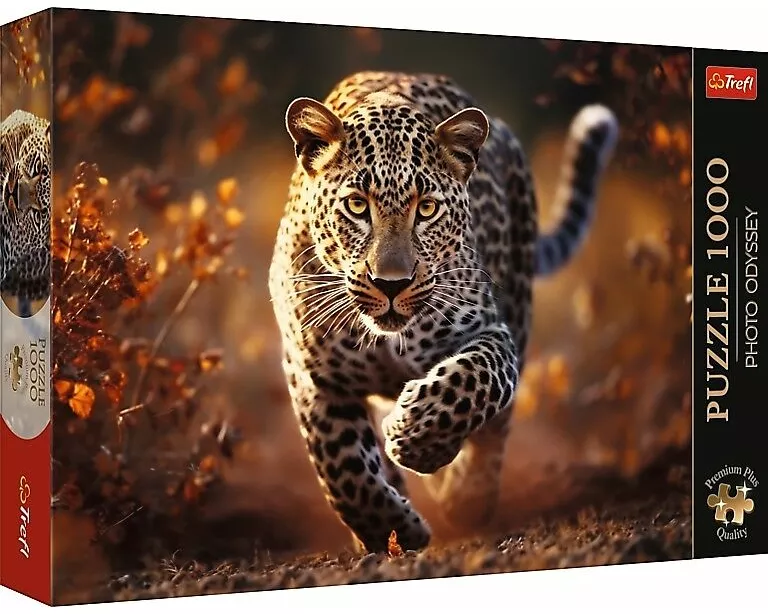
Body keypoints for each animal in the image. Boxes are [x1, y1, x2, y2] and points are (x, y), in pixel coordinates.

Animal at [268, 71, 618, 553]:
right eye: (357, 206)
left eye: (427, 208)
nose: (391, 283)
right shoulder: (312, 375)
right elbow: (343, 467)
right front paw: (391, 531)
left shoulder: (491, 332)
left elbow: (473, 381)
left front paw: (416, 437)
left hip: (519, 303)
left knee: (496, 430)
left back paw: (467, 497)